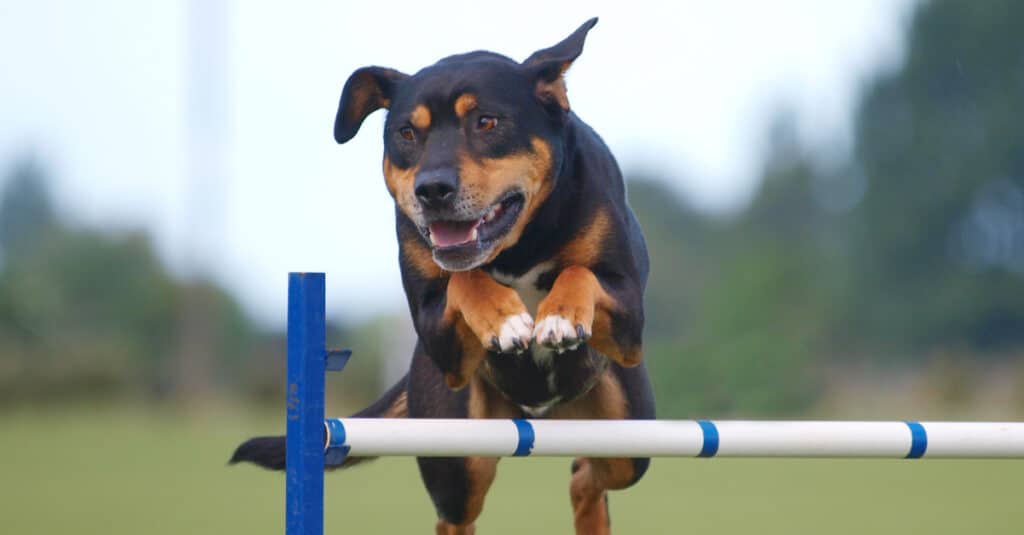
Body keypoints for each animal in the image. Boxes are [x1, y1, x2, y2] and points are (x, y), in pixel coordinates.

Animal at [230, 17, 655, 532]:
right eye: (407, 133)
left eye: (487, 122)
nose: (432, 189)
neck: (517, 245)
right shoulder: (441, 341)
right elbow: (462, 279)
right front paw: (505, 320)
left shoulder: (628, 315)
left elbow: (578, 271)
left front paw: (558, 316)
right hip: (456, 451)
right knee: (459, 513)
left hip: (628, 432)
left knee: (587, 474)